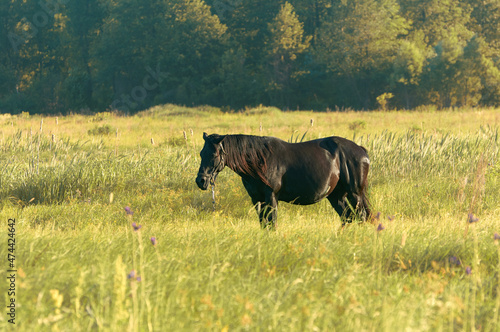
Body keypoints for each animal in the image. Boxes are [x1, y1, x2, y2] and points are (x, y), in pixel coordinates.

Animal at [195, 132, 372, 228]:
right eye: (201, 153)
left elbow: (271, 223)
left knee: (361, 215)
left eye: (214, 154)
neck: (259, 160)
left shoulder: (271, 197)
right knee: (347, 217)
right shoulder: (257, 199)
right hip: (336, 195)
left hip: (354, 194)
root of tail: (361, 150)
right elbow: (263, 224)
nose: (201, 181)